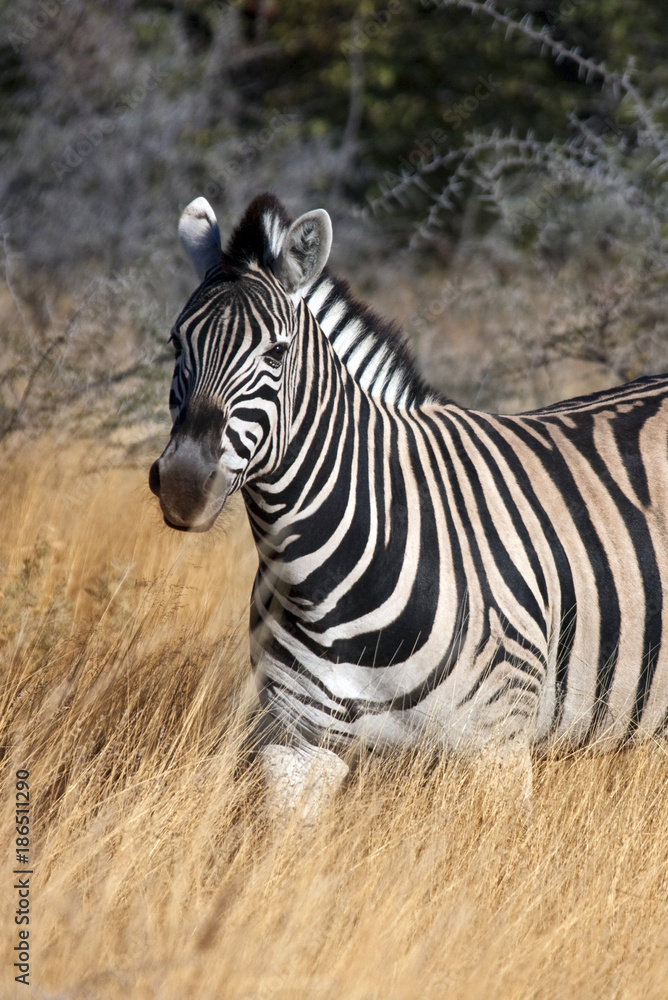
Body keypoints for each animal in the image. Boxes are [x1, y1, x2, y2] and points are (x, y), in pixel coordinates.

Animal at [149, 191, 668, 815]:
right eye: (177, 343)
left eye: (275, 352)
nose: (182, 484)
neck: (322, 579)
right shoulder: (295, 744)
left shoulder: (496, 747)